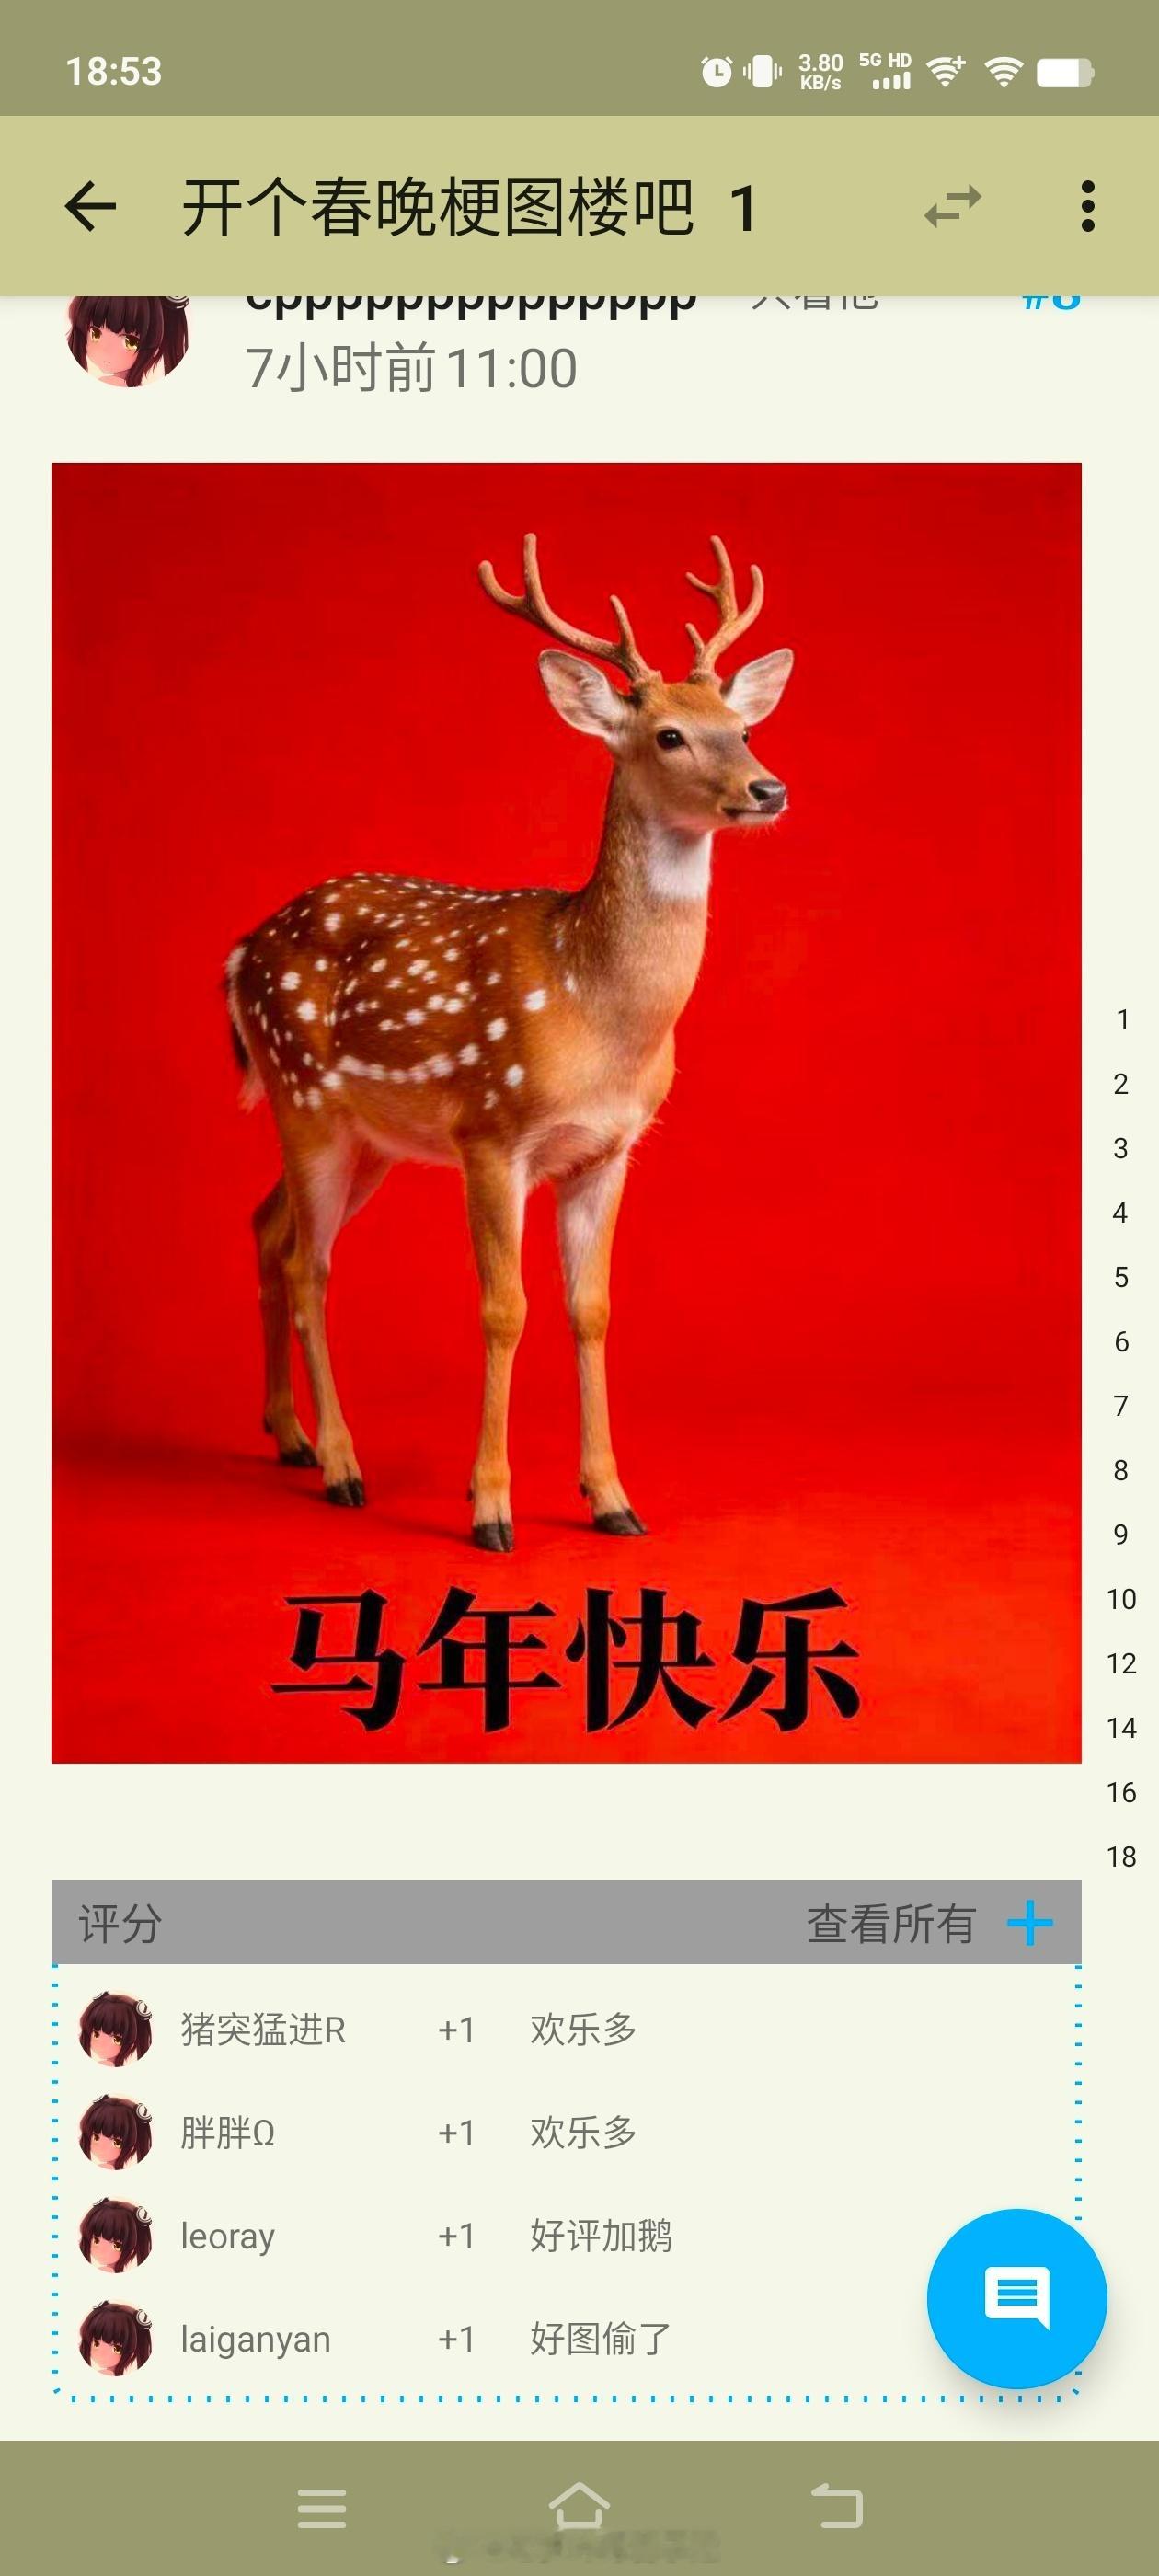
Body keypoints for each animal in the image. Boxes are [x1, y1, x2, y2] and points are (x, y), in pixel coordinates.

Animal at [225, 535, 793, 1549]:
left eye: (742, 725)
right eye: (669, 735)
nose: (767, 787)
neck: (595, 1008)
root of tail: (242, 949)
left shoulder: (608, 1149)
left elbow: (590, 1310)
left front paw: (612, 1498)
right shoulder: (491, 1131)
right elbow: (503, 1309)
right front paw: (489, 1506)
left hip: (368, 1139)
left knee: (267, 1226)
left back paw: (287, 1435)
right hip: (303, 1098)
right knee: (308, 1262)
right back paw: (341, 1464)